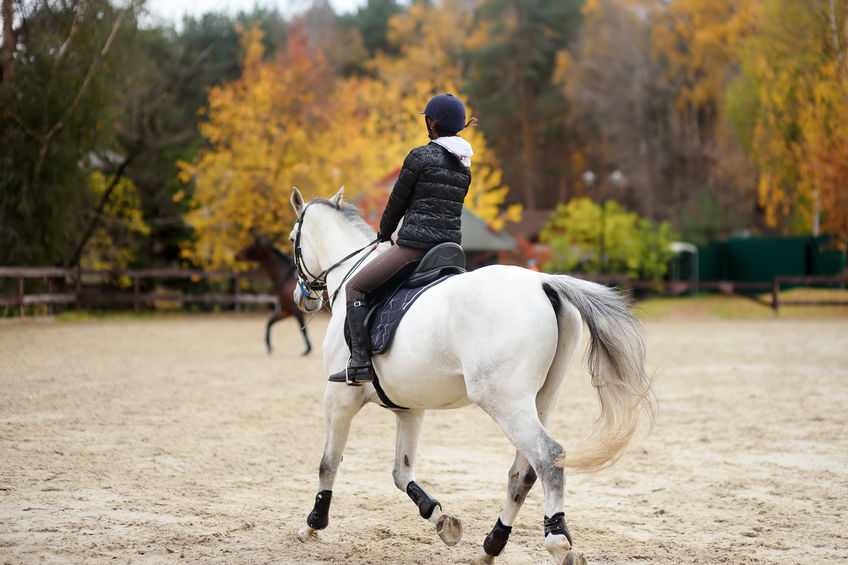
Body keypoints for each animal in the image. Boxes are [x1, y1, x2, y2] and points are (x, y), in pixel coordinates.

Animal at [290, 187, 656, 560]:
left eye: (292, 239)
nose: (304, 299)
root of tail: (544, 283)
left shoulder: (339, 399)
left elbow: (328, 463)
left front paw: (313, 525)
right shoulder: (409, 409)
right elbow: (400, 472)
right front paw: (440, 519)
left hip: (504, 401)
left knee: (549, 458)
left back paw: (557, 542)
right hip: (540, 400)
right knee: (522, 473)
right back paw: (492, 546)